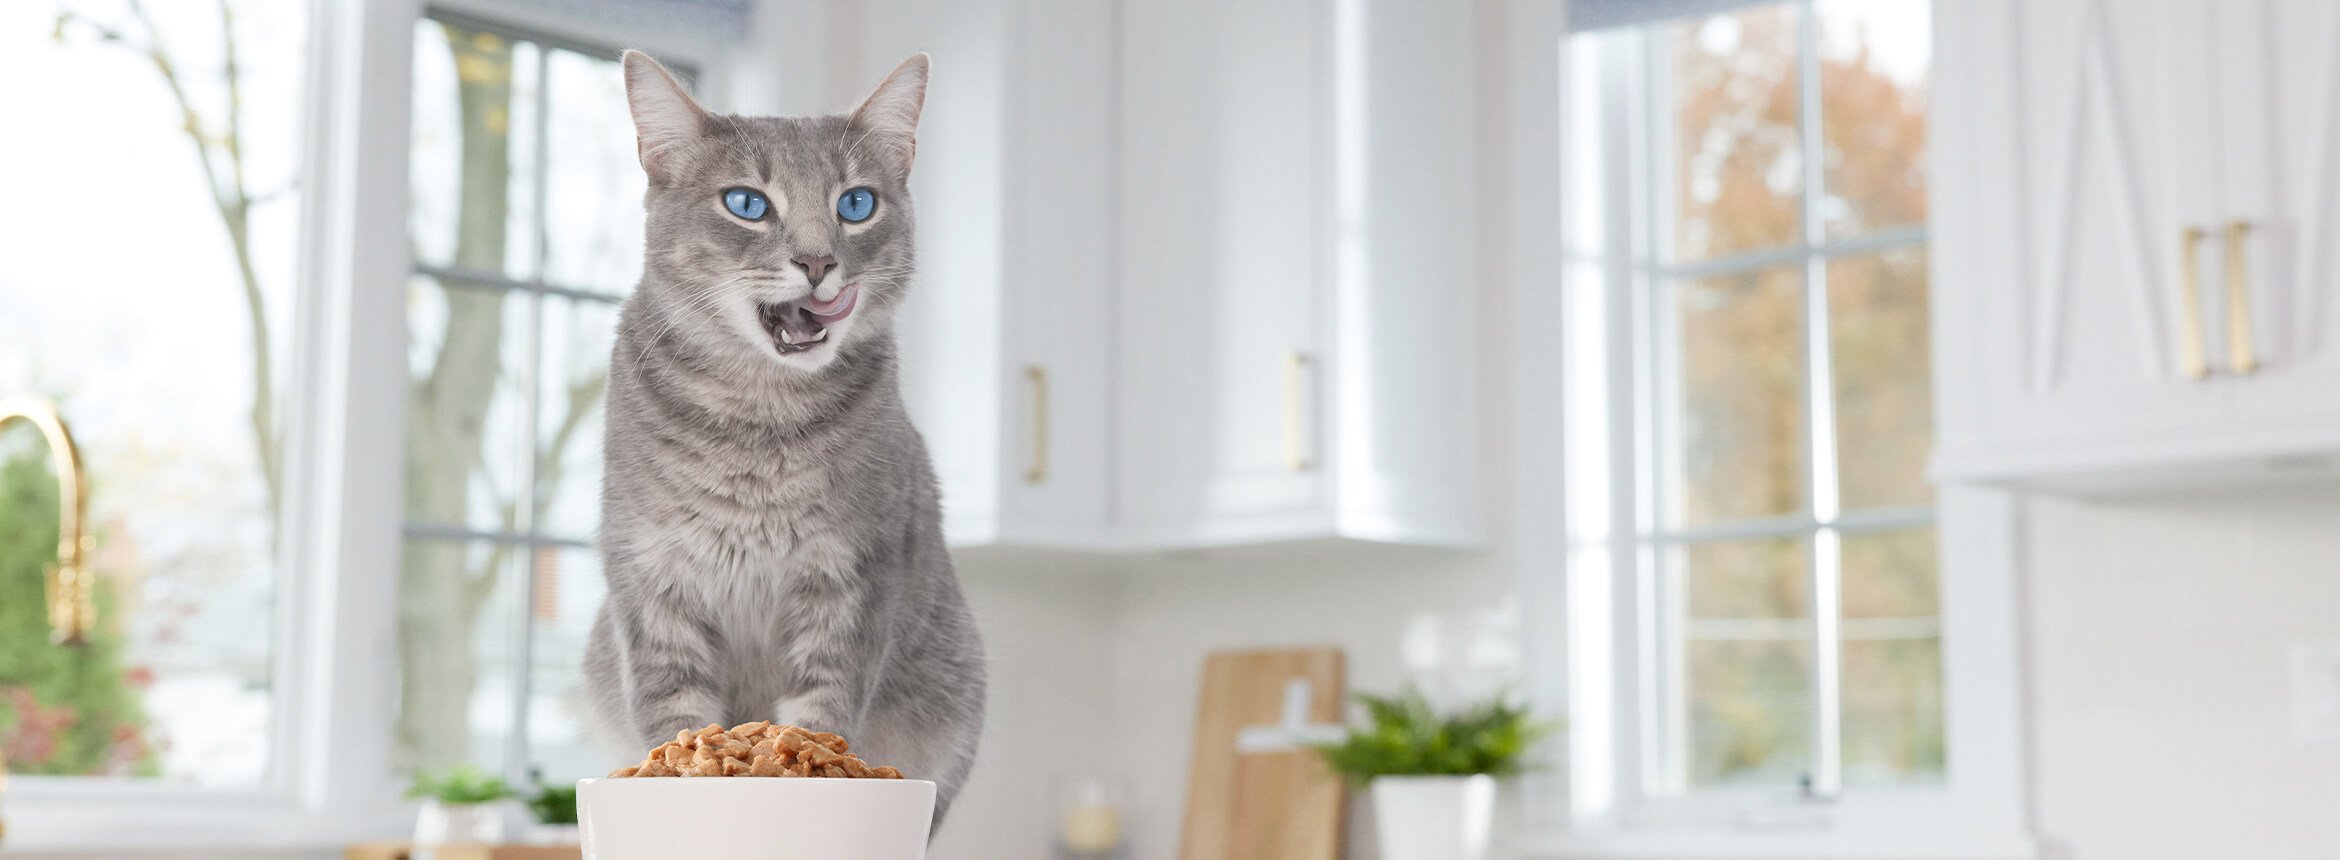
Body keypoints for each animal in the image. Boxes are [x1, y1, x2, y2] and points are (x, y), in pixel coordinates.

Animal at [594, 48, 987, 827]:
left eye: (856, 204)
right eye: (747, 203)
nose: (817, 262)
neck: (757, 412)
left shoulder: (854, 576)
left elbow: (821, 708)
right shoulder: (651, 583)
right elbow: (674, 710)